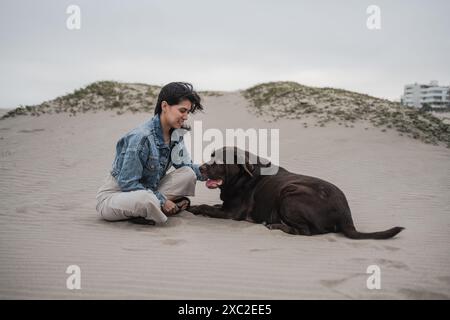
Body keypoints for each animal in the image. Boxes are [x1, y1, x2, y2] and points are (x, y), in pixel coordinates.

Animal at [188, 146, 406, 239]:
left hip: (289, 195)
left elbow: (206, 207)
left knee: (306, 231)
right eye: (211, 155)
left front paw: (194, 208)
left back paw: (275, 226)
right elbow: (213, 205)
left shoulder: (231, 213)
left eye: (220, 160)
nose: (202, 168)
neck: (242, 178)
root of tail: (346, 214)